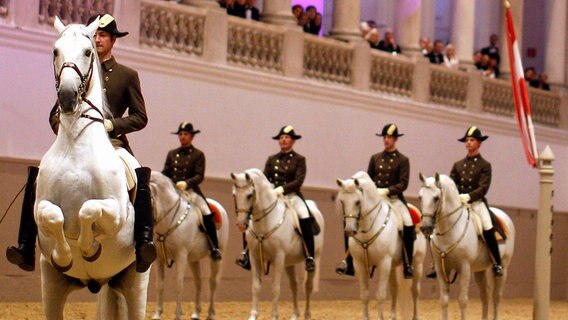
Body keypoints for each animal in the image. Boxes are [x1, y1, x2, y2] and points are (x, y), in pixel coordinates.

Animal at [33, 18, 149, 320]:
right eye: (55, 51)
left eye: (88, 52)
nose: (67, 96)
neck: (77, 146)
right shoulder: (41, 209)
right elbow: (54, 216)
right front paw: (65, 255)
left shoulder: (116, 213)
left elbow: (88, 209)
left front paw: (88, 249)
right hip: (51, 285)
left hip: (136, 282)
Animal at [151, 171, 231, 320]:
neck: (170, 219)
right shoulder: (159, 258)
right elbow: (159, 285)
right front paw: (157, 314)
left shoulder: (181, 256)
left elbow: (179, 286)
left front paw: (177, 315)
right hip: (193, 260)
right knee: (198, 282)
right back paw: (196, 313)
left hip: (217, 257)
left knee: (213, 283)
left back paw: (210, 314)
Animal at [231, 168, 324, 320]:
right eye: (234, 195)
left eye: (250, 195)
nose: (241, 225)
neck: (266, 221)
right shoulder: (254, 257)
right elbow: (255, 286)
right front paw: (253, 315)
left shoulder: (278, 258)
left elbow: (275, 288)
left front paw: (274, 316)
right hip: (289, 263)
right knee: (294, 285)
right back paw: (295, 315)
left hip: (313, 258)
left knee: (308, 286)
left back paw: (307, 315)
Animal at [336, 172, 424, 320]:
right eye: (342, 202)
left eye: (358, 202)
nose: (349, 230)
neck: (368, 228)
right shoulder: (359, 264)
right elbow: (364, 295)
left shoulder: (383, 263)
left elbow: (380, 295)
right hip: (393, 266)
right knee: (395, 289)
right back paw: (392, 316)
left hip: (417, 263)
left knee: (415, 291)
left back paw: (415, 316)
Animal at [418, 174, 516, 320]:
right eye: (420, 197)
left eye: (436, 198)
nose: (425, 228)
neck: (450, 230)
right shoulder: (441, 269)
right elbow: (444, 299)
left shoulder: (464, 268)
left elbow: (463, 300)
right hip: (479, 270)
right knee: (485, 295)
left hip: (503, 267)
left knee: (496, 297)